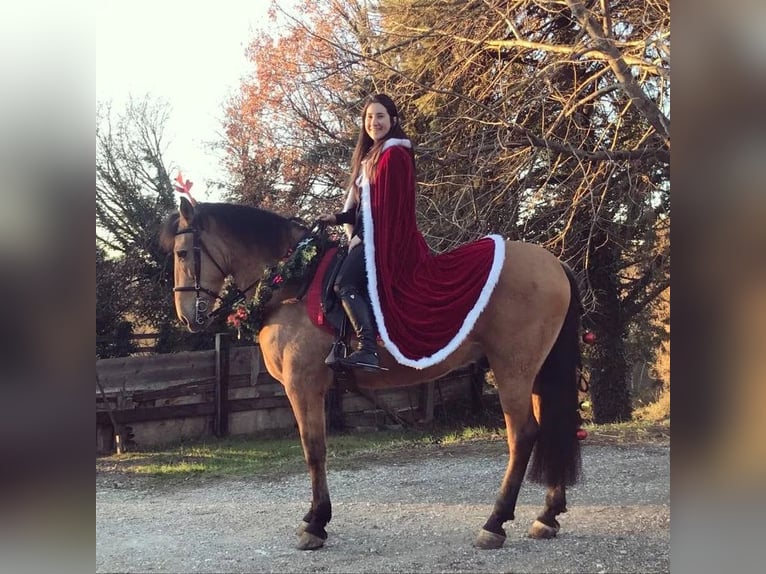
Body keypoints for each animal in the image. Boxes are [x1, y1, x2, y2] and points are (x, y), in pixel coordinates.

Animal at [160, 197, 583, 551]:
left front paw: (316, 523)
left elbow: (314, 451)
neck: (293, 281)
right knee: (549, 425)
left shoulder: (303, 387)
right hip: (535, 373)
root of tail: (554, 264)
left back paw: (495, 523)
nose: (187, 316)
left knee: (523, 435)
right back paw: (547, 515)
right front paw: (316, 518)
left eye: (181, 253)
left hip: (513, 370)